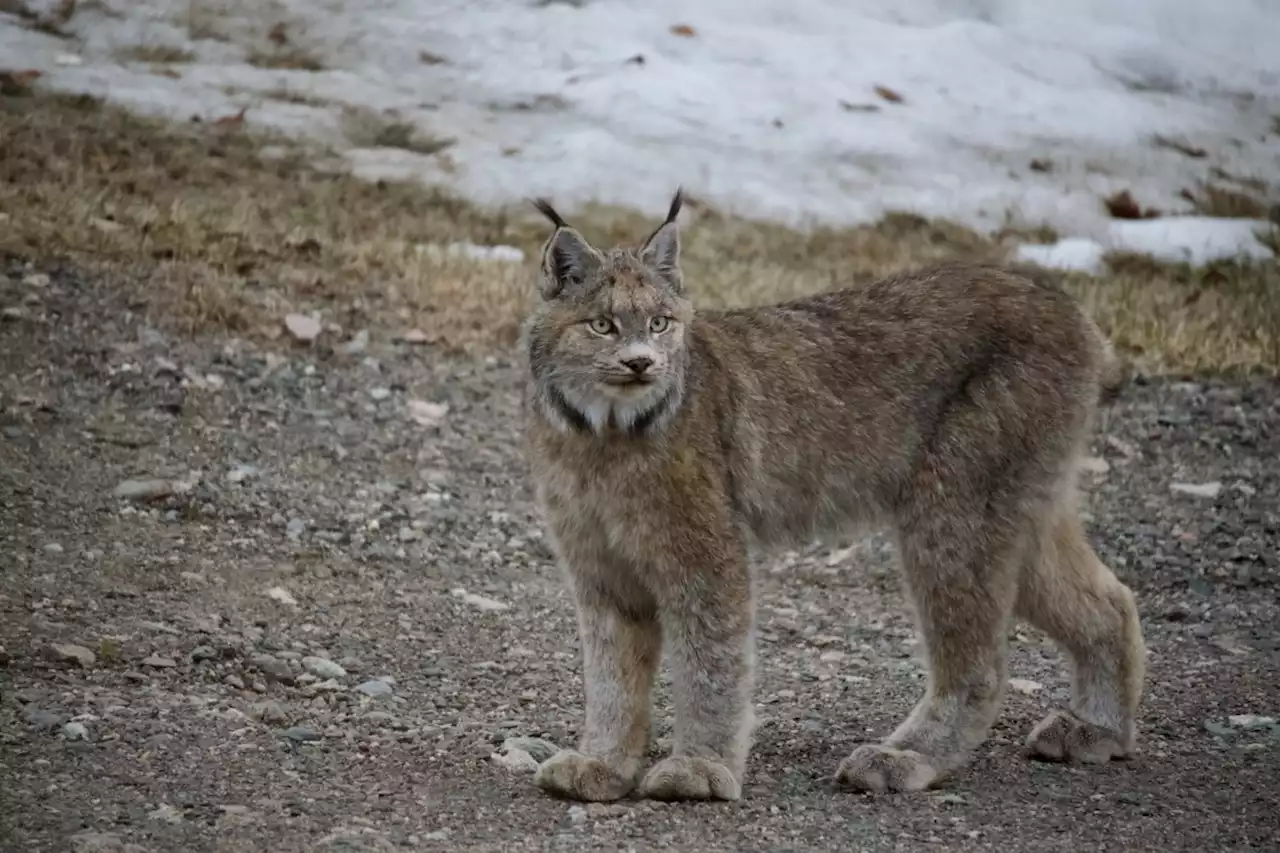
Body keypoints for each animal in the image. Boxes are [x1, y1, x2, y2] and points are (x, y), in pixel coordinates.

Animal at [514, 189, 1146, 799]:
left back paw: (906, 757)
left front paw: (699, 768)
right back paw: (1097, 729)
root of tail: (1064, 305)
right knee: (1111, 600)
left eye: (661, 323)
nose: (642, 363)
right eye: (602, 326)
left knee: (981, 664)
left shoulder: (705, 553)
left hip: (952, 505)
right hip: (1013, 504)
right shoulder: (600, 566)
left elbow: (708, 662)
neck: (601, 434)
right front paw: (604, 764)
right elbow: (611, 675)